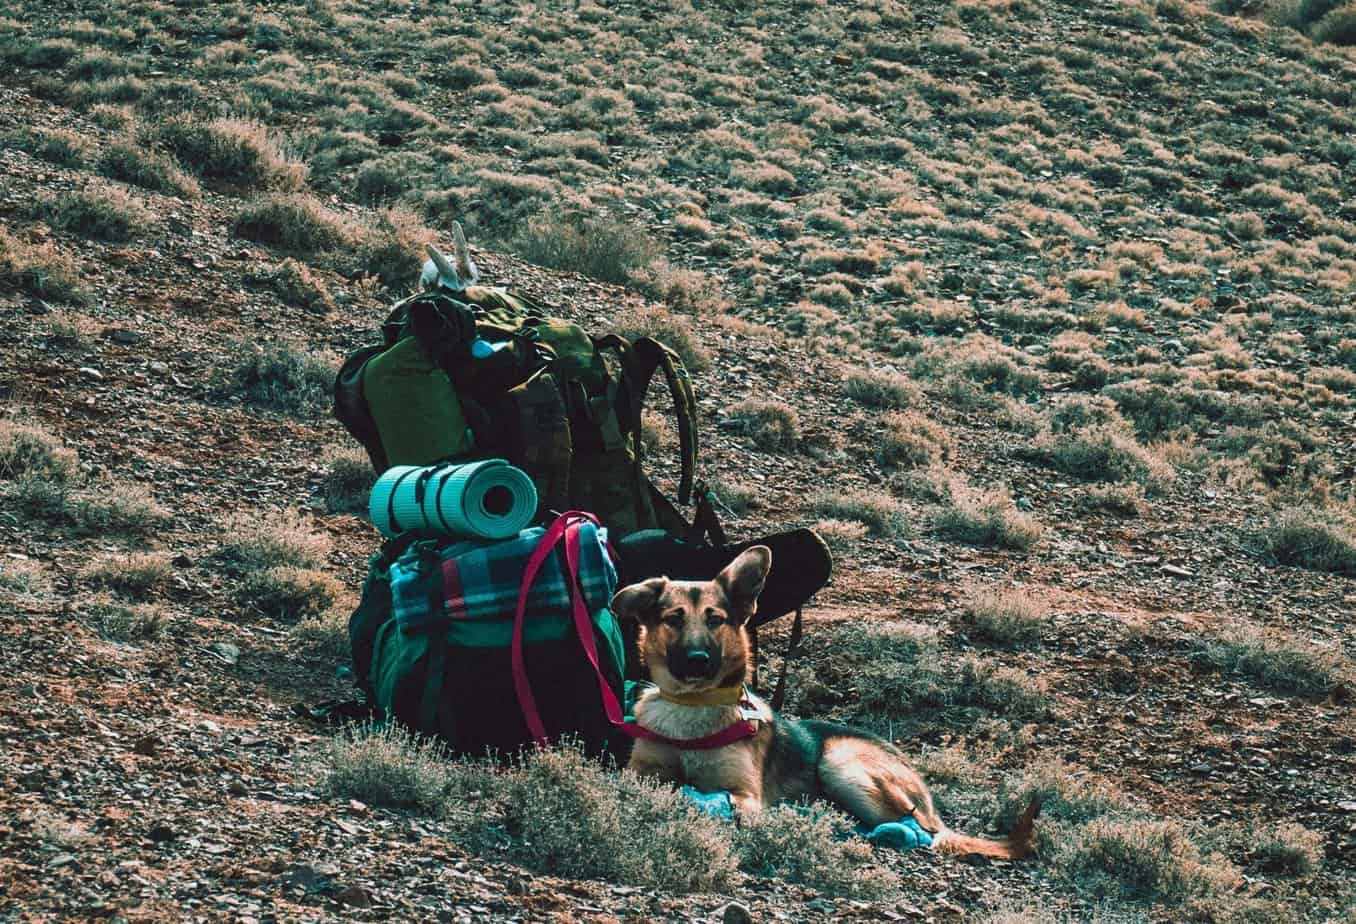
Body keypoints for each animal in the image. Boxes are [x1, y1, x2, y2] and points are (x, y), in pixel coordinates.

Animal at [610, 545, 1041, 862]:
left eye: (716, 620)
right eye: (674, 619)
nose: (698, 660)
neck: (691, 709)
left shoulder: (745, 794)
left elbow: (729, 804)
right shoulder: (641, 770)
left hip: (841, 764)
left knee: (920, 829)